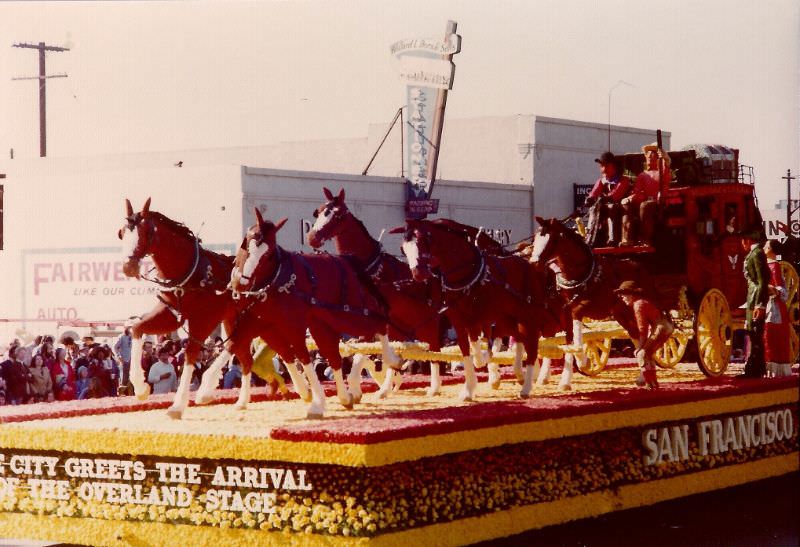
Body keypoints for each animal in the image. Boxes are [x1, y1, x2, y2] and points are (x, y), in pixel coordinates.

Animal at [115, 199, 284, 418]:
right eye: (122, 233)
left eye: (145, 232)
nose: (128, 267)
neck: (191, 274)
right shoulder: (170, 314)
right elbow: (137, 328)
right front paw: (141, 387)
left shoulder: (204, 319)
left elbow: (190, 352)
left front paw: (178, 405)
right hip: (233, 319)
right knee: (244, 357)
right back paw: (242, 400)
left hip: (254, 320)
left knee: (236, 346)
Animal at [227, 208, 392, 418]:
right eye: (246, 242)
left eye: (269, 254)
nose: (242, 282)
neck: (277, 281)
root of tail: (346, 260)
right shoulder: (266, 325)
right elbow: (285, 354)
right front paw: (305, 392)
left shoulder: (292, 324)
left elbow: (302, 356)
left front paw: (316, 401)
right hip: (323, 322)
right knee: (335, 356)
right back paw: (346, 396)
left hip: (351, 315)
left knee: (379, 323)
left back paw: (391, 361)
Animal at [306, 187, 446, 398]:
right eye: (320, 211)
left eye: (336, 214)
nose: (312, 237)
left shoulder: (370, 318)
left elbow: (362, 350)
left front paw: (354, 386)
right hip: (400, 325)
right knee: (402, 349)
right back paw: (386, 389)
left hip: (429, 323)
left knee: (434, 350)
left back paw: (435, 387)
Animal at [390, 218, 556, 402]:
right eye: (403, 248)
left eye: (422, 240)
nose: (418, 273)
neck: (466, 274)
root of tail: (533, 267)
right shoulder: (459, 320)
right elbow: (467, 348)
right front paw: (470, 388)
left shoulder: (476, 318)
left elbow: (477, 346)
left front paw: (484, 364)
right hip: (509, 315)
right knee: (520, 338)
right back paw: (520, 372)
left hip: (528, 314)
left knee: (532, 345)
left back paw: (527, 386)